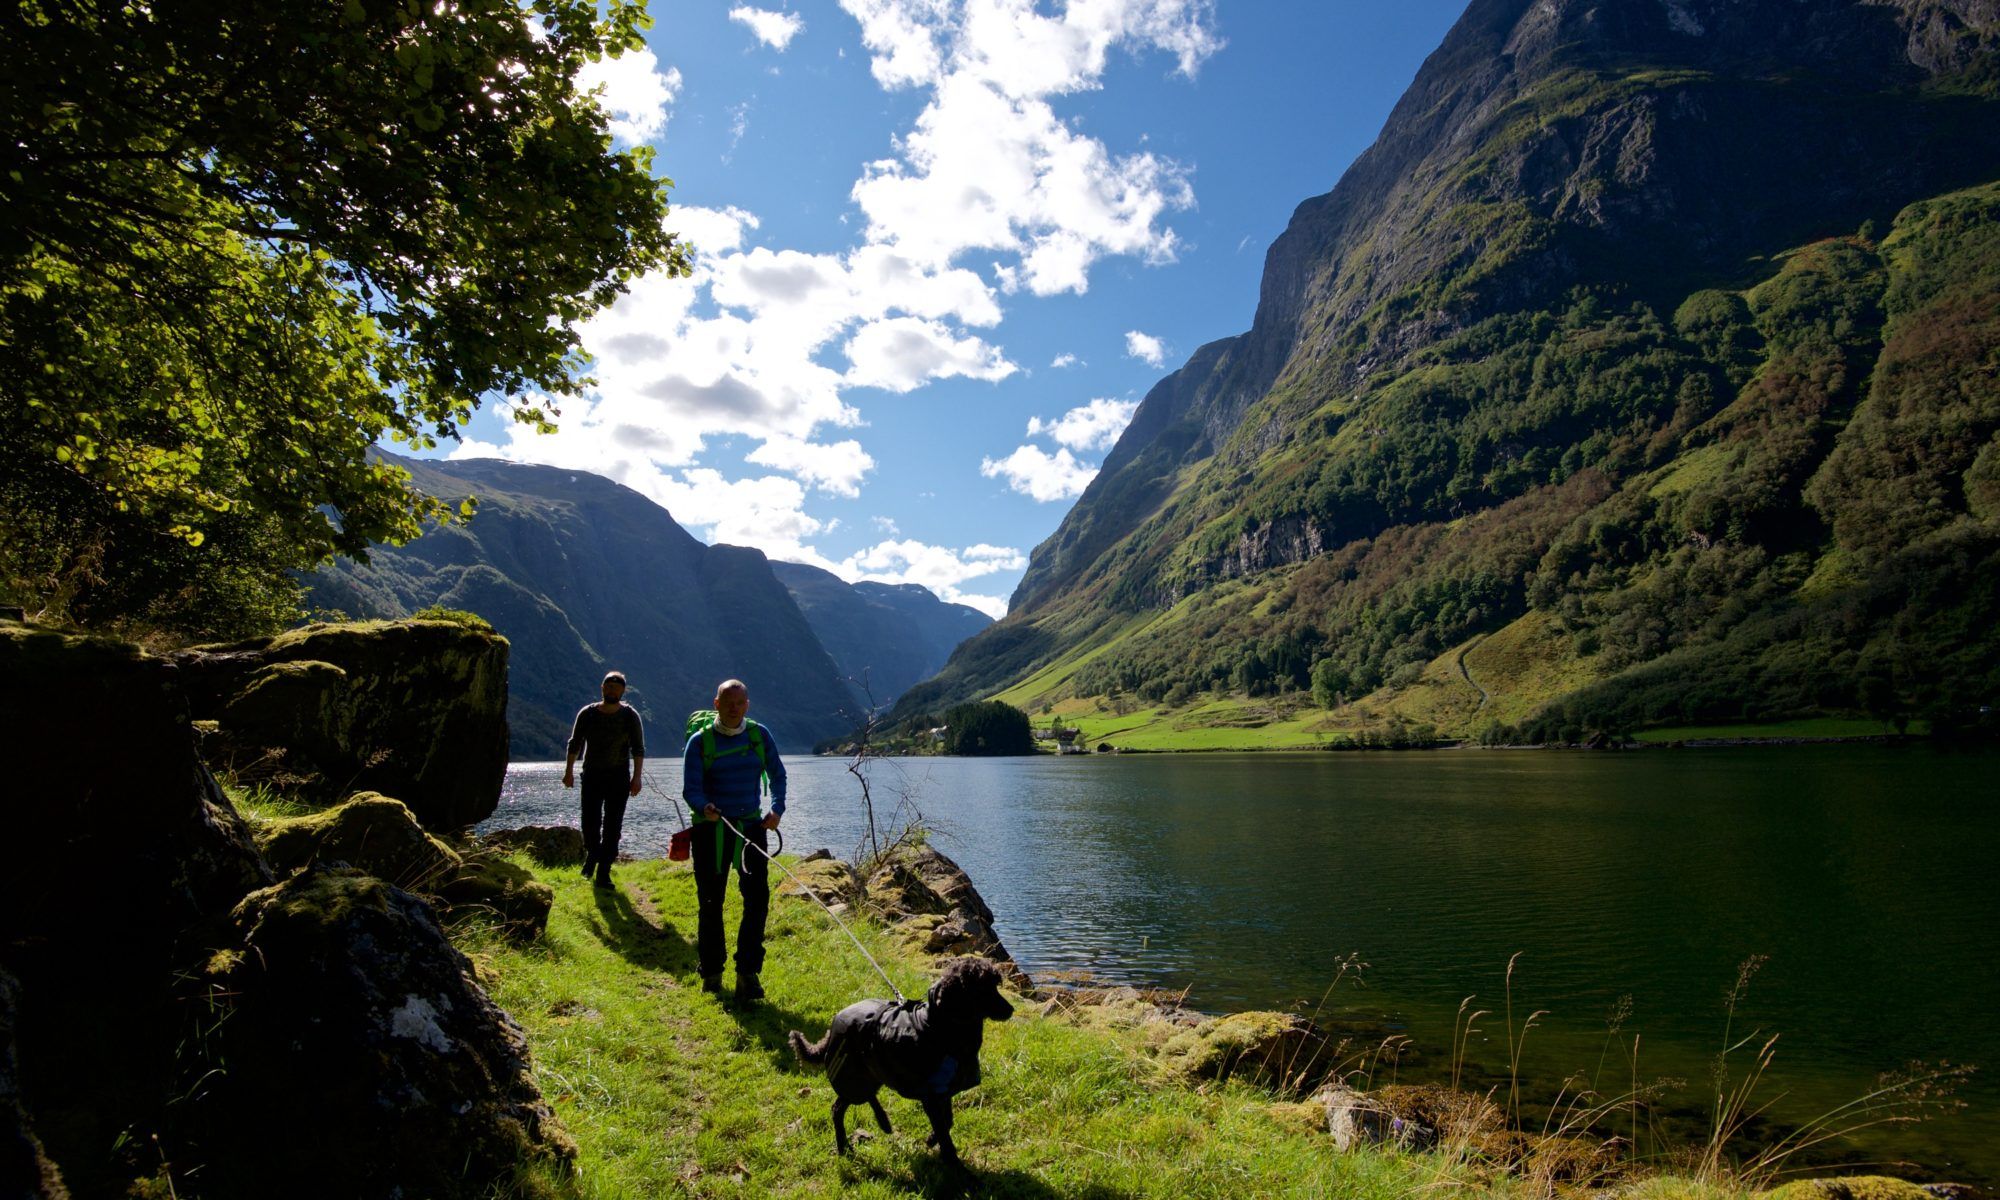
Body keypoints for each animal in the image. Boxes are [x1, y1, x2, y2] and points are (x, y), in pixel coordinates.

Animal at [788, 956, 1016, 1160]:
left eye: (995, 986)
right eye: (982, 989)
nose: (1011, 1010)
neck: (938, 1026)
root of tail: (833, 1024)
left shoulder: (944, 1090)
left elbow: (948, 1121)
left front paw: (931, 1140)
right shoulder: (931, 1095)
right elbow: (944, 1133)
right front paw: (958, 1169)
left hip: (869, 1072)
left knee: (851, 1102)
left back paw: (870, 1130)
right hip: (851, 1073)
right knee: (843, 1106)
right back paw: (856, 1138)